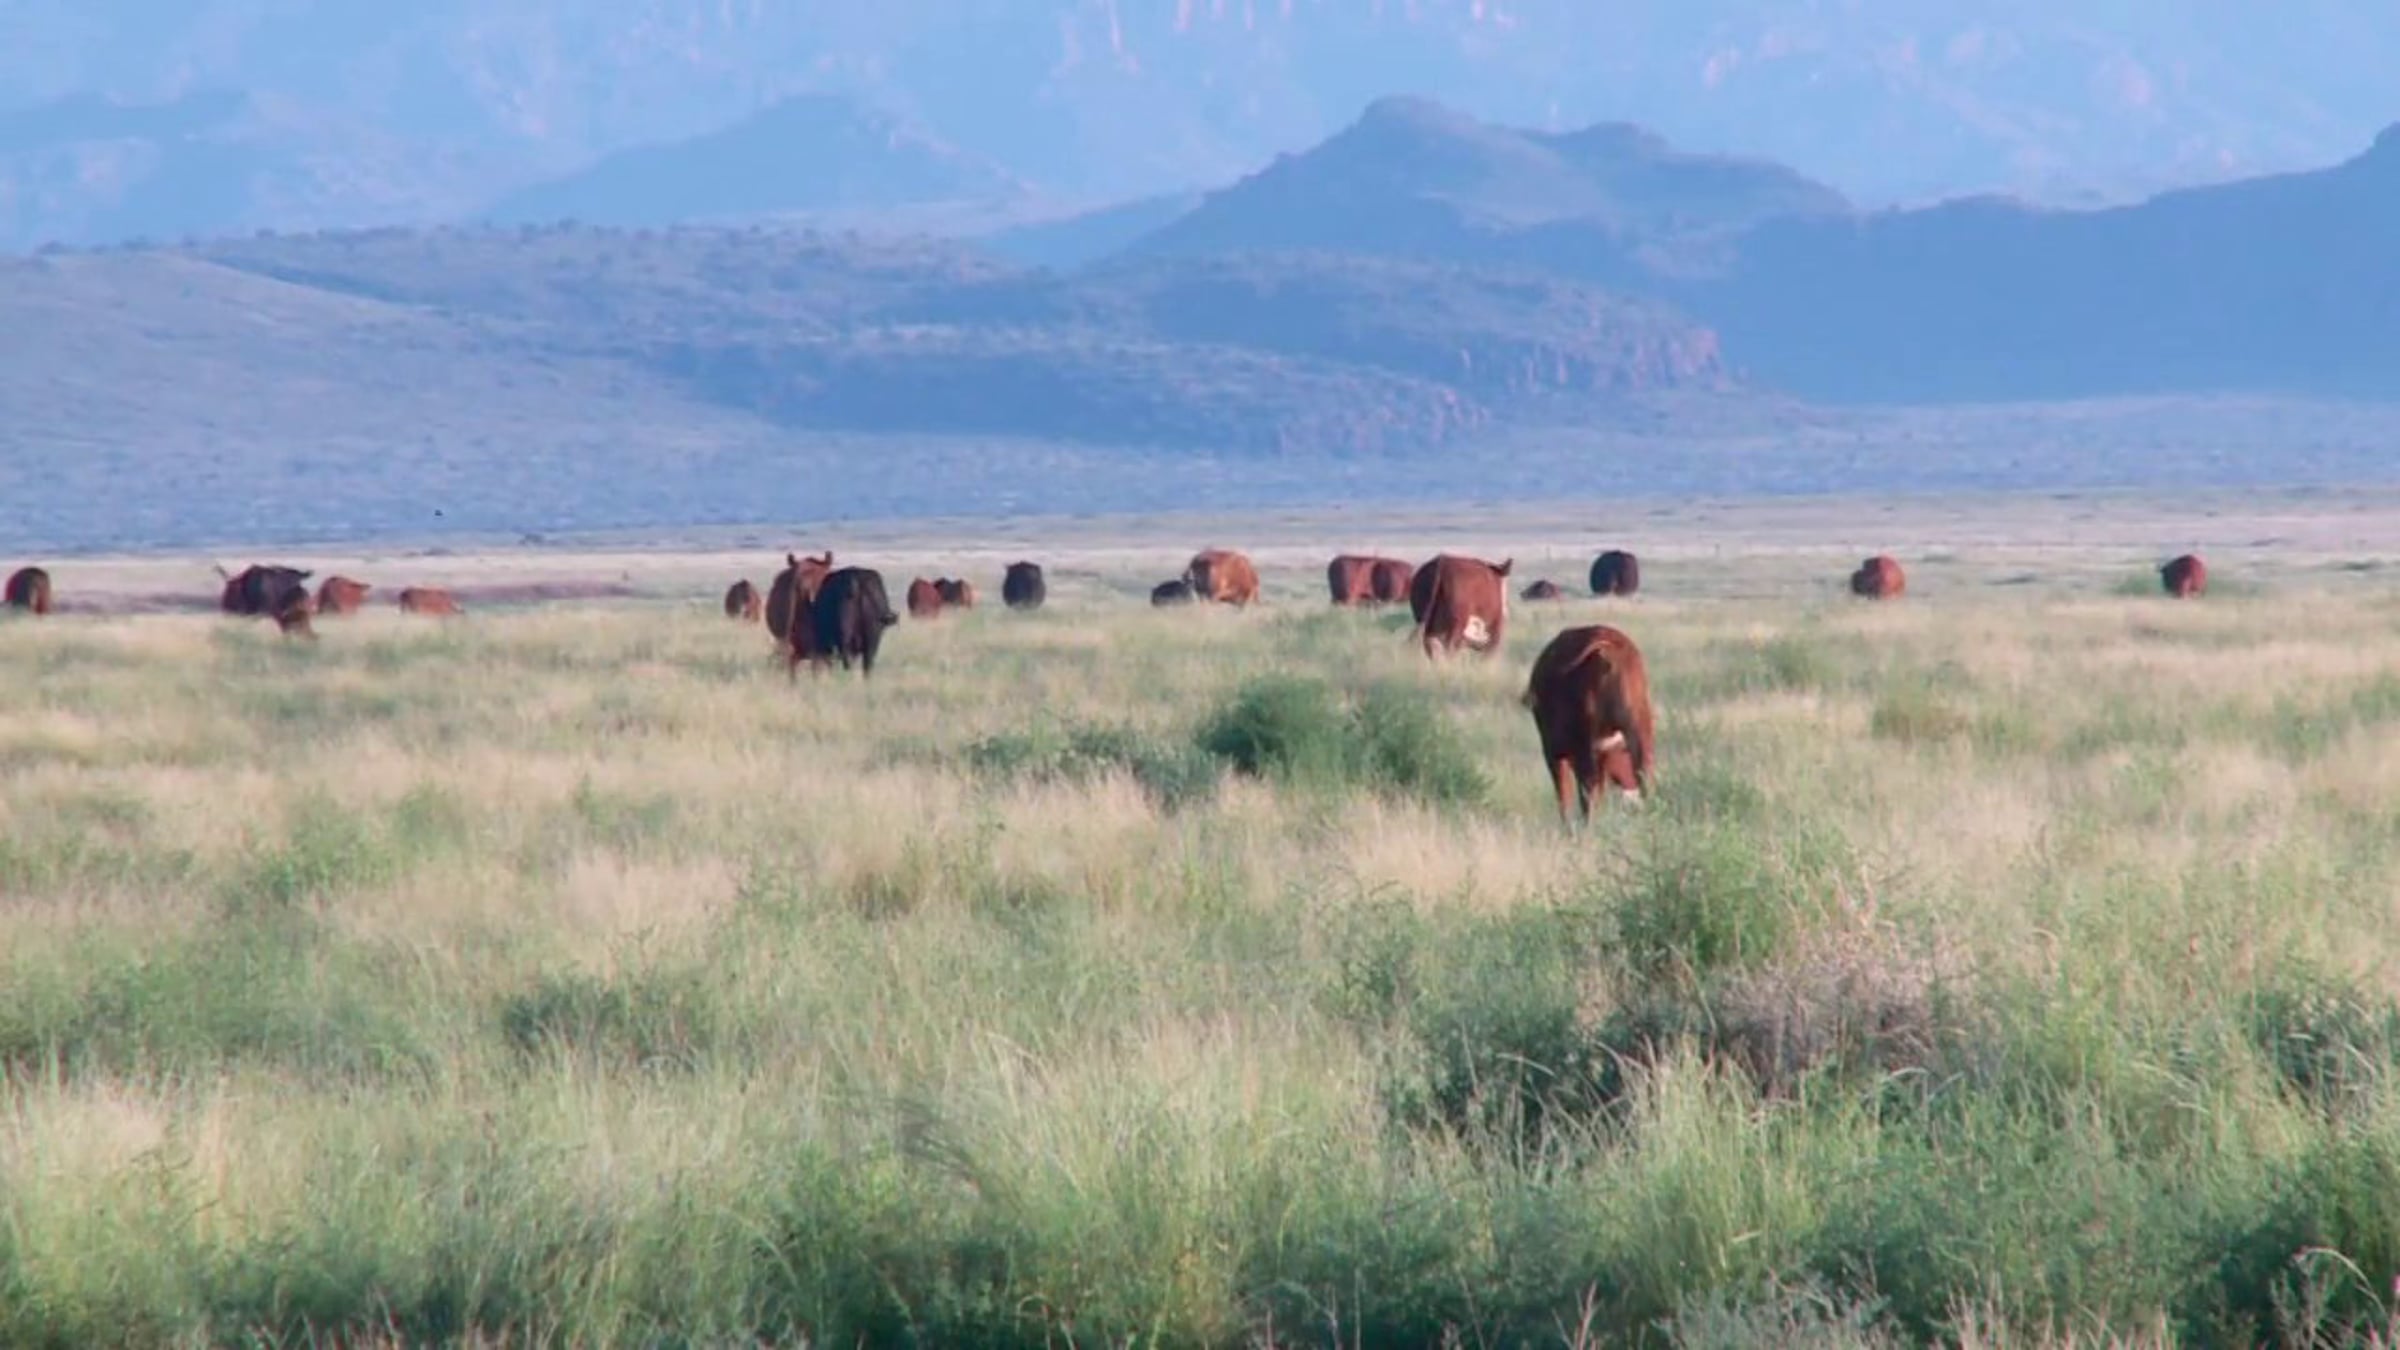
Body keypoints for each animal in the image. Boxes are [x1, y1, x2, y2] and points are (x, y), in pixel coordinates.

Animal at [1522, 624, 1656, 825]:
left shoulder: (1555, 753)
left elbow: (1565, 795)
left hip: (1583, 746)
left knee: (1587, 791)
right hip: (1638, 731)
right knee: (1645, 774)